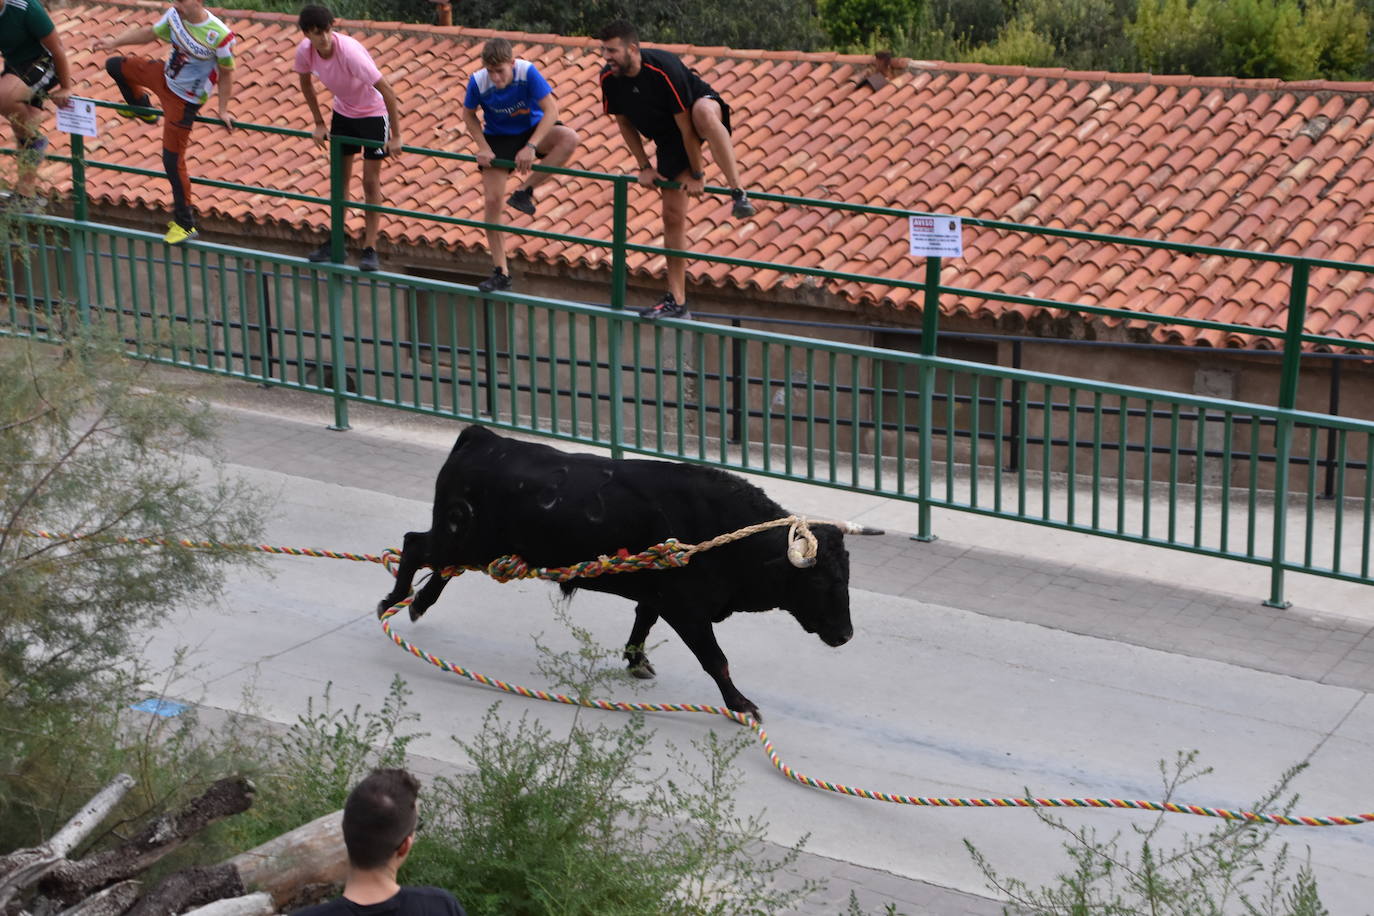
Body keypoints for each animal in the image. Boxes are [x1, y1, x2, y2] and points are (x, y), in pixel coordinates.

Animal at [381, 425, 873, 719]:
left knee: (441, 567)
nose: (846, 635)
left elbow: (642, 622)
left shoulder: (658, 597)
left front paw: (637, 661)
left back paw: (418, 604)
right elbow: (717, 660)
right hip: (458, 537)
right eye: (821, 580)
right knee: (414, 545)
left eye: (847, 577)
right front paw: (741, 704)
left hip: (472, 546)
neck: (723, 531)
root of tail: (483, 437)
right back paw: (395, 599)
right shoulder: (688, 610)